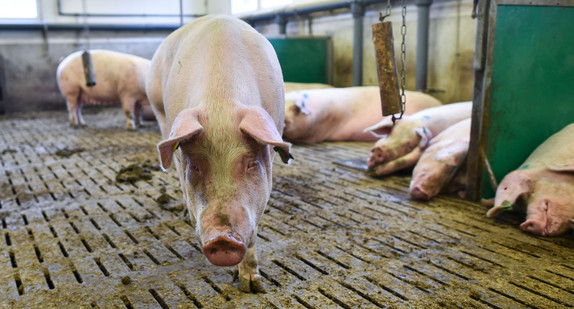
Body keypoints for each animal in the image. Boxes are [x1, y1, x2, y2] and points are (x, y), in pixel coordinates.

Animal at [145, 15, 292, 294]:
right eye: (195, 166)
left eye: (252, 163)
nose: (223, 239)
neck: (221, 101)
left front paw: (253, 287)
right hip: (160, 112)